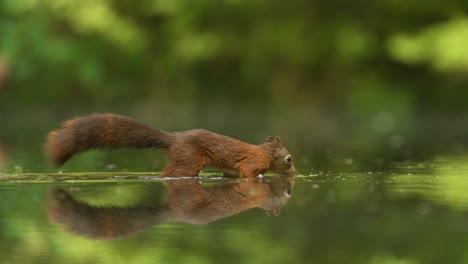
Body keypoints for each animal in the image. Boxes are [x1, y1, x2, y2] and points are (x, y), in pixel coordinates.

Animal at [47, 113, 296, 177]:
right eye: (289, 159)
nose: (295, 172)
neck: (265, 152)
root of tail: (174, 138)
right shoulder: (253, 163)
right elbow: (250, 174)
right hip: (189, 161)